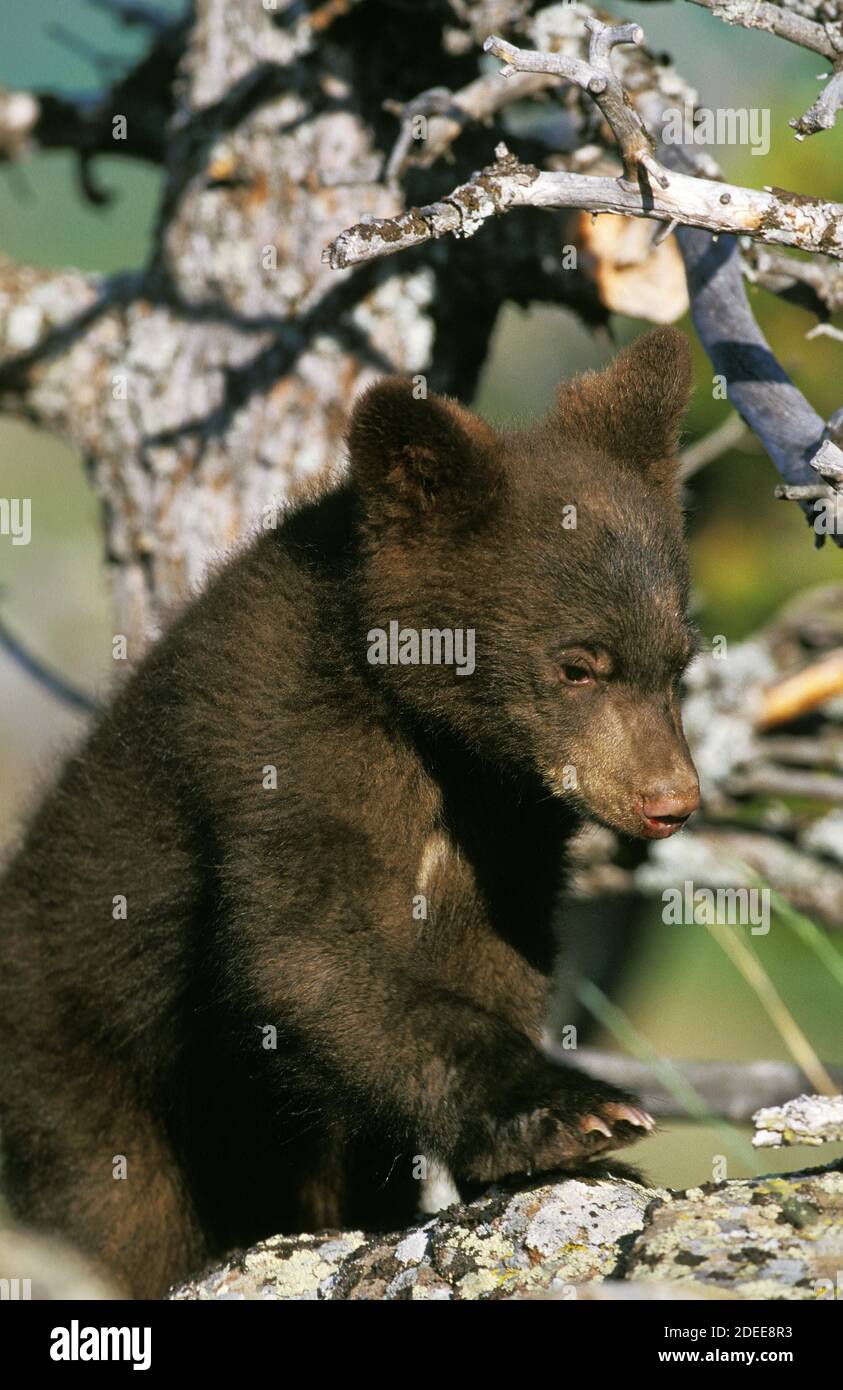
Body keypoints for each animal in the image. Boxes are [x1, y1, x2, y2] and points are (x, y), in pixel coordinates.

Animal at [0, 326, 700, 1298]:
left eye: (678, 660)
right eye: (578, 665)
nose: (671, 801)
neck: (438, 738)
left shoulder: (508, 828)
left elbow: (494, 955)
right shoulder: (287, 745)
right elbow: (300, 951)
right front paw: (575, 1111)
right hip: (78, 1058)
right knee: (112, 1206)